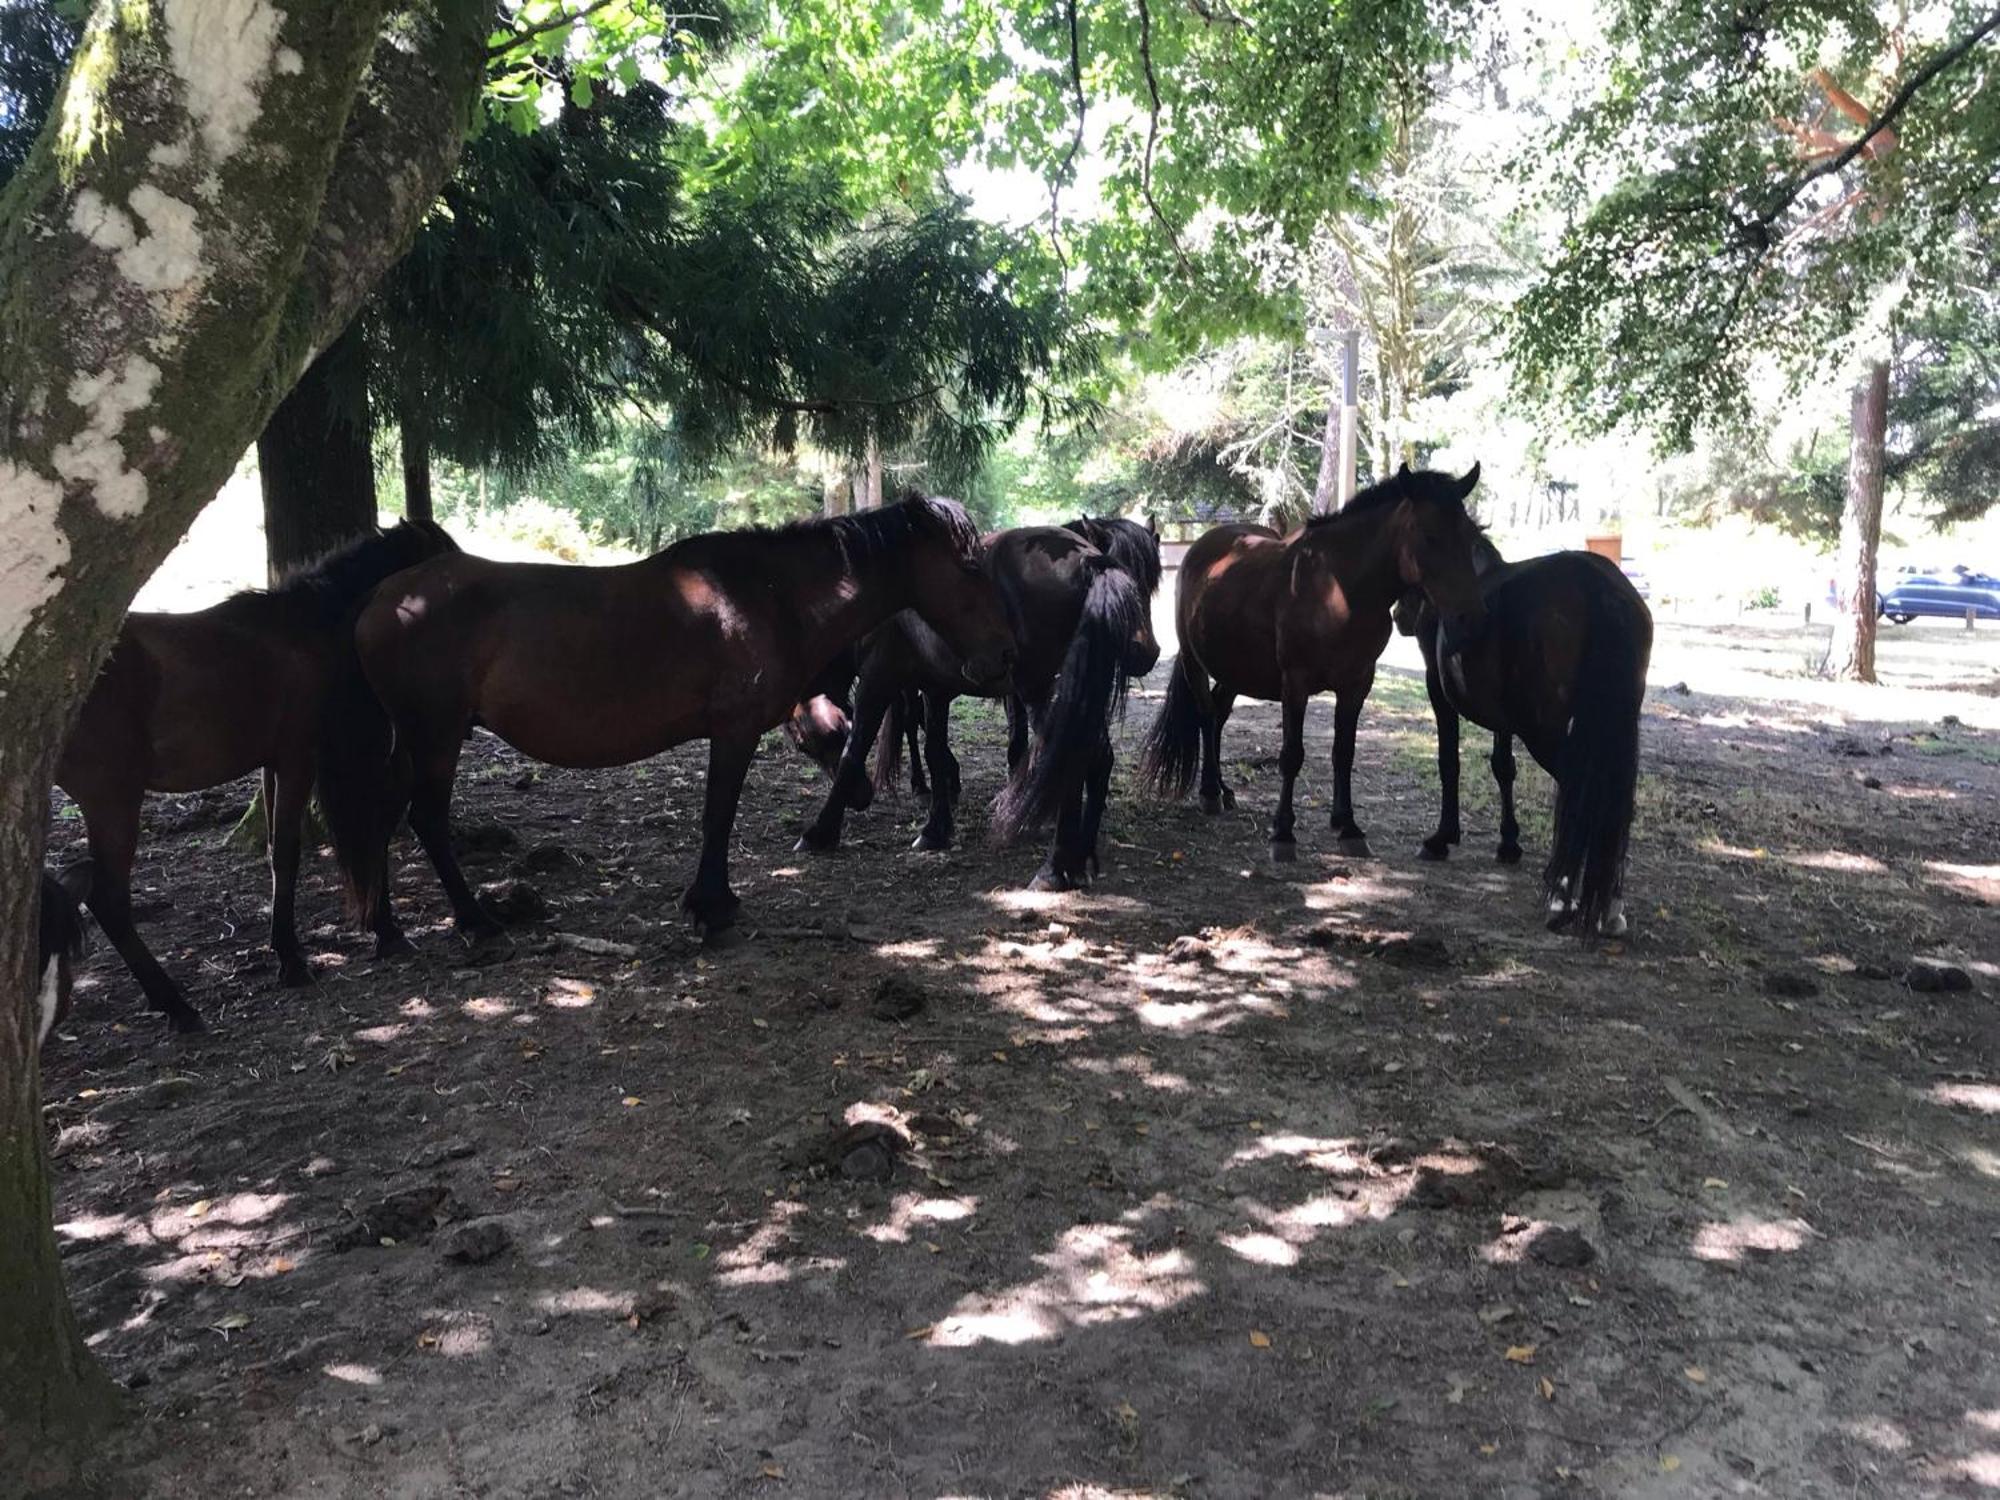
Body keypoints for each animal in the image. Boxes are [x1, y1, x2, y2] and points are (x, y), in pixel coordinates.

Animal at [55, 520, 464, 1032]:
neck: (311, 629)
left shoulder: (272, 766)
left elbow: (274, 852)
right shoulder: (297, 761)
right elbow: (293, 852)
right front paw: (295, 959)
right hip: (113, 802)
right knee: (109, 899)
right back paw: (176, 1005)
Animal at [330, 494, 1024, 944]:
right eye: (969, 567)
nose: (1004, 656)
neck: (768, 597)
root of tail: (381, 600)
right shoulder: (734, 731)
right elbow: (718, 815)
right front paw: (711, 908)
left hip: (415, 741)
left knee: (385, 818)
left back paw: (389, 932)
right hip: (436, 737)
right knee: (424, 819)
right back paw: (476, 921)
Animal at [788, 520, 1168, 892]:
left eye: (809, 742)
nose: (860, 798)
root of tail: (1087, 559)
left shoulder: (877, 679)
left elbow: (855, 750)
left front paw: (820, 833)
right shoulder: (935, 689)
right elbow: (935, 752)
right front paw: (936, 829)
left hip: (1039, 690)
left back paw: (1055, 868)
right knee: (1095, 756)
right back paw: (1081, 857)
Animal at [1144, 470, 1488, 868]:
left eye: (1471, 535)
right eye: (1429, 536)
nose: (1472, 618)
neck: (1338, 588)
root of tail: (1204, 548)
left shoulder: (1357, 684)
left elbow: (1344, 752)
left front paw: (1347, 826)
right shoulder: (1296, 682)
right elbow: (1292, 755)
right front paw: (1283, 833)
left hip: (1235, 670)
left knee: (1218, 715)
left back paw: (1223, 789)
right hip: (1194, 662)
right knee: (1204, 714)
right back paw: (1211, 791)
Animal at [1392, 540, 1656, 940]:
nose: (1400, 615)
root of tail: (1600, 588)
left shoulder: (1437, 687)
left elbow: (1449, 762)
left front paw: (1441, 838)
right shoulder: (1504, 716)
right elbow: (1504, 768)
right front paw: (1508, 843)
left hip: (1545, 733)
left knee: (1581, 797)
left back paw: (1563, 897)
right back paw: (1609, 906)